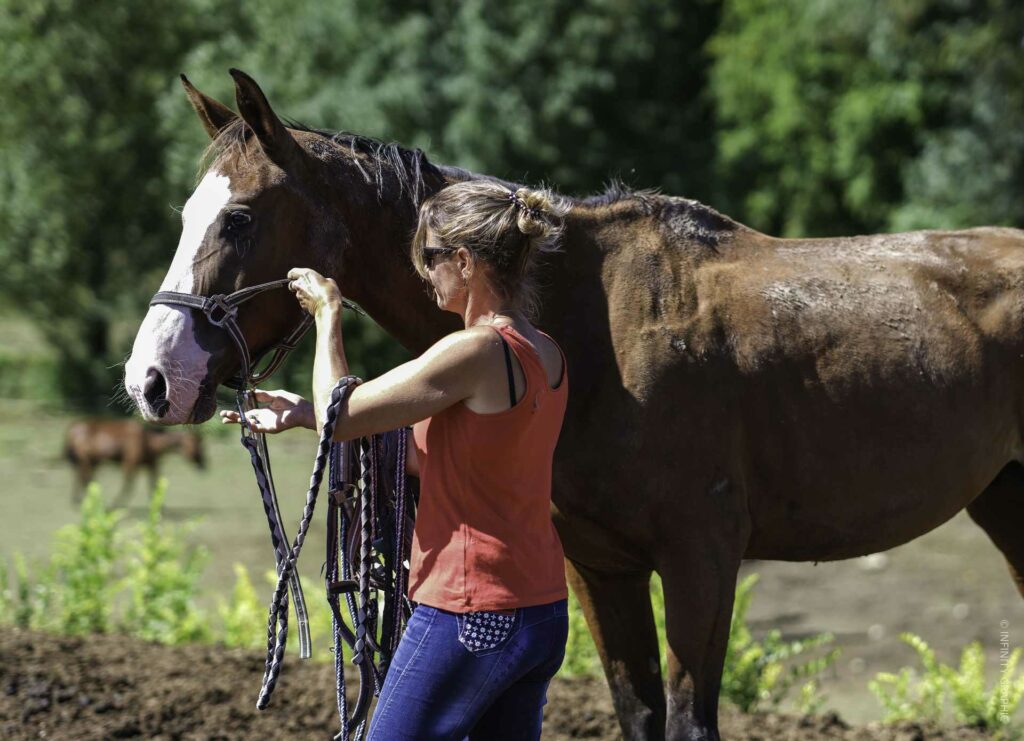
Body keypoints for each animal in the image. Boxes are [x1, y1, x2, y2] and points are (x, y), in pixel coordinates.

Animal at [64, 417, 205, 503]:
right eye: (196, 444)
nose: (203, 464)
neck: (149, 442)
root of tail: (73, 428)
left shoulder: (151, 464)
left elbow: (153, 486)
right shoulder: (130, 463)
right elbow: (128, 486)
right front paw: (115, 504)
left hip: (90, 461)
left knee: (82, 477)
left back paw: (78, 500)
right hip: (86, 459)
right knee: (85, 478)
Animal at [125, 71, 1024, 741]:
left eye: (240, 217)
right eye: (185, 214)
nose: (151, 379)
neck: (596, 326)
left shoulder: (700, 561)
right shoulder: (601, 565)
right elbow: (639, 713)